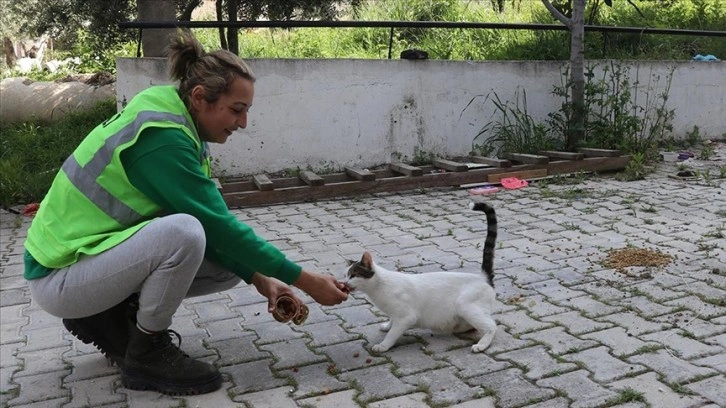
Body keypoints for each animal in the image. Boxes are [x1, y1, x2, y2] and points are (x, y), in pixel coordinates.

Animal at [344, 202, 498, 352]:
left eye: (353, 275)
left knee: (491, 326)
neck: (378, 288)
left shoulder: (406, 317)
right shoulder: (395, 314)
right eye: (345, 275)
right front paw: (387, 325)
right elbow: (392, 321)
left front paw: (383, 345)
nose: (344, 283)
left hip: (464, 305)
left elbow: (392, 334)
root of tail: (482, 277)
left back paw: (481, 345)